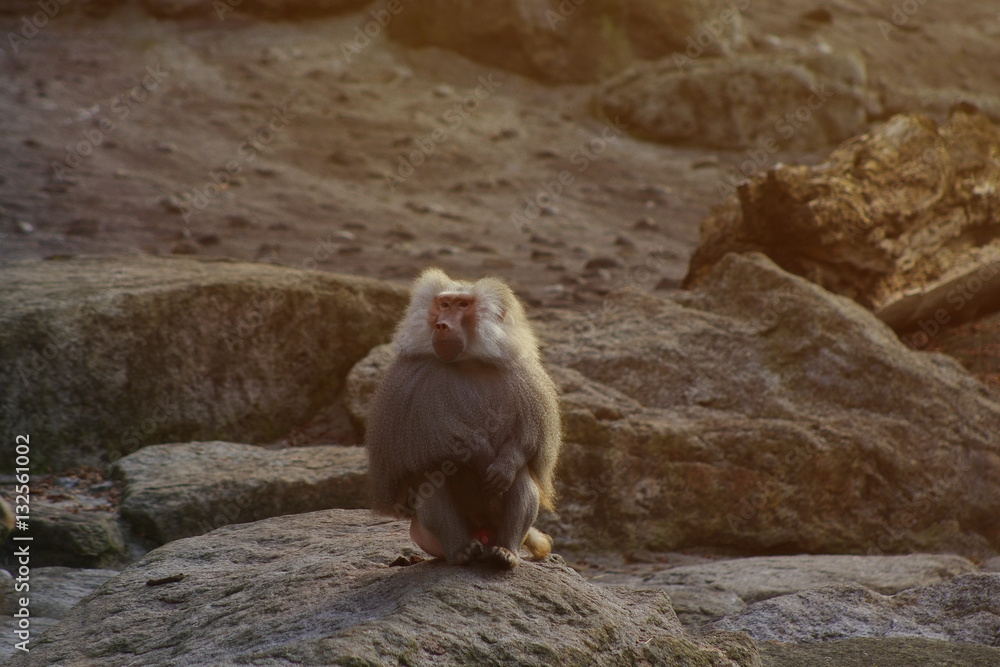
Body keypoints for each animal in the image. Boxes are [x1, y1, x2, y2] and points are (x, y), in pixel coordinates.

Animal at [365, 268, 561, 568]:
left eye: (462, 305)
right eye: (444, 304)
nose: (442, 326)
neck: (468, 362)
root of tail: (483, 533)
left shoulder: (524, 379)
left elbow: (525, 442)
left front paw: (504, 464)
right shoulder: (406, 384)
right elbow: (429, 445)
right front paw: (478, 451)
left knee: (521, 477)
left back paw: (506, 552)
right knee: (430, 474)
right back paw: (462, 552)